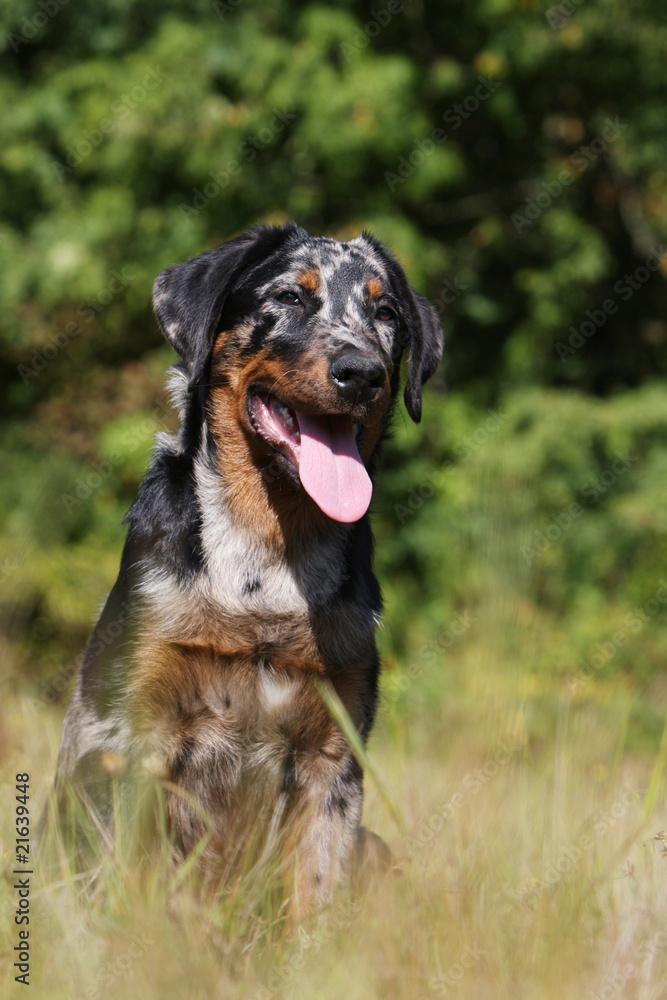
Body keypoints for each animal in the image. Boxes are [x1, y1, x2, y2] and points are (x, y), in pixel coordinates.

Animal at [56, 223, 444, 912]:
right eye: (289, 296)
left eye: (387, 314)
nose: (363, 373)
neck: (265, 561)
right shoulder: (132, 735)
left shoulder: (333, 757)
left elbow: (315, 894)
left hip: (375, 847)